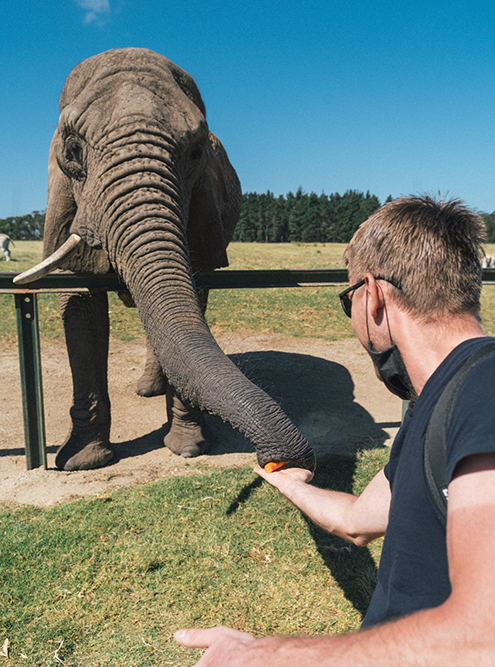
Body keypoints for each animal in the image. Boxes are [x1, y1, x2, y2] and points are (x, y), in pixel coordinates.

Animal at [17, 47, 316, 474]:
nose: (278, 461)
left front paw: (188, 449)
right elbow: (81, 305)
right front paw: (83, 462)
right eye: (72, 150)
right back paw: (145, 391)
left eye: (196, 152)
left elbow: (194, 290)